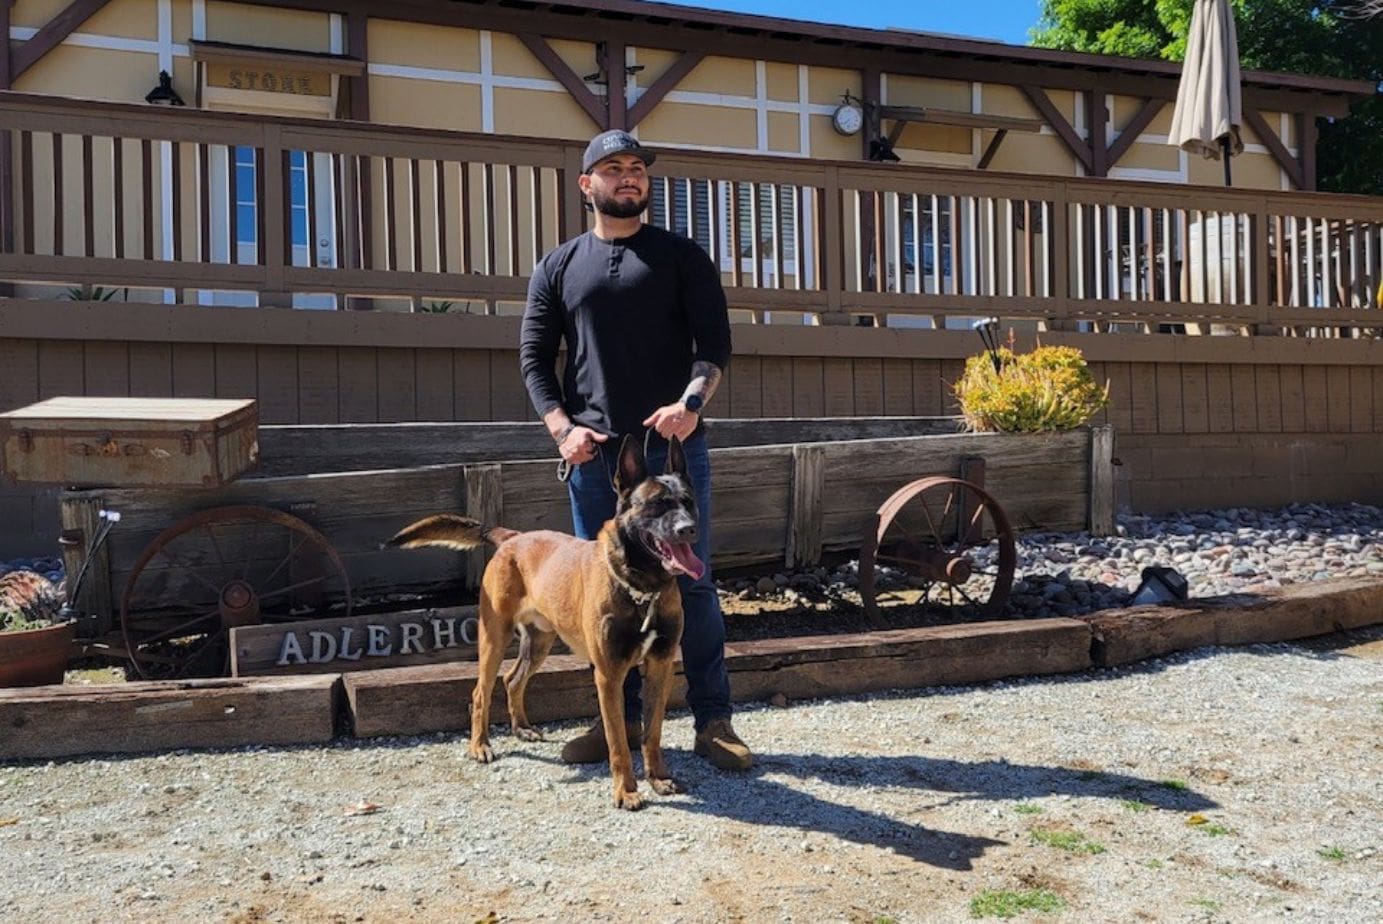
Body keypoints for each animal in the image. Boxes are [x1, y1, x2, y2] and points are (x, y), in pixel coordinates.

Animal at [384, 434, 702, 807]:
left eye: (688, 502)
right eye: (656, 505)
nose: (689, 529)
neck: (642, 588)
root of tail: (512, 537)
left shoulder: (660, 667)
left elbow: (652, 733)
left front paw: (659, 779)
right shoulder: (609, 676)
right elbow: (619, 743)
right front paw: (626, 791)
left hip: (538, 642)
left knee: (512, 680)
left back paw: (521, 728)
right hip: (494, 638)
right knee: (481, 691)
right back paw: (480, 745)